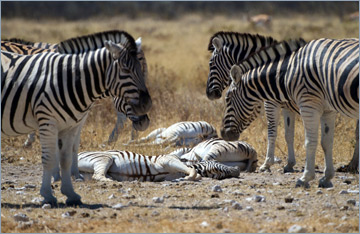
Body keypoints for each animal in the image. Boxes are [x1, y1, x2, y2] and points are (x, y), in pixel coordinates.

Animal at [0, 30, 152, 205]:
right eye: (126, 70)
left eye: (142, 70)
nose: (145, 120)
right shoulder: (53, 118)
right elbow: (54, 151)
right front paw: (54, 181)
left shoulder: (75, 118)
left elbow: (71, 148)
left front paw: (72, 178)